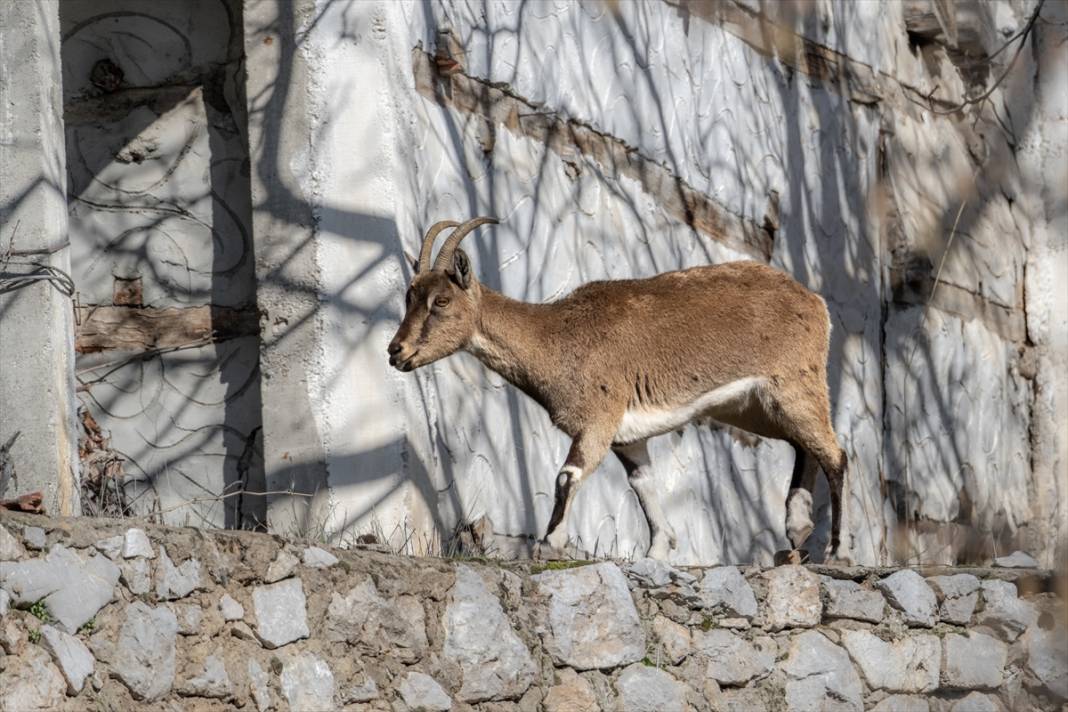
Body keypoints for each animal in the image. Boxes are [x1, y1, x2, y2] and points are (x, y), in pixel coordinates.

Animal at [388, 217, 845, 563]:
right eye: (409, 297)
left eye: (441, 301)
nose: (397, 352)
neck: (558, 337)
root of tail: (816, 304)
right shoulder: (628, 437)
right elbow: (643, 485)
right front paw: (658, 550)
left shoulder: (599, 419)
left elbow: (566, 476)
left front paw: (549, 543)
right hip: (753, 407)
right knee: (805, 446)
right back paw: (797, 529)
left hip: (795, 385)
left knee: (835, 455)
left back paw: (835, 551)